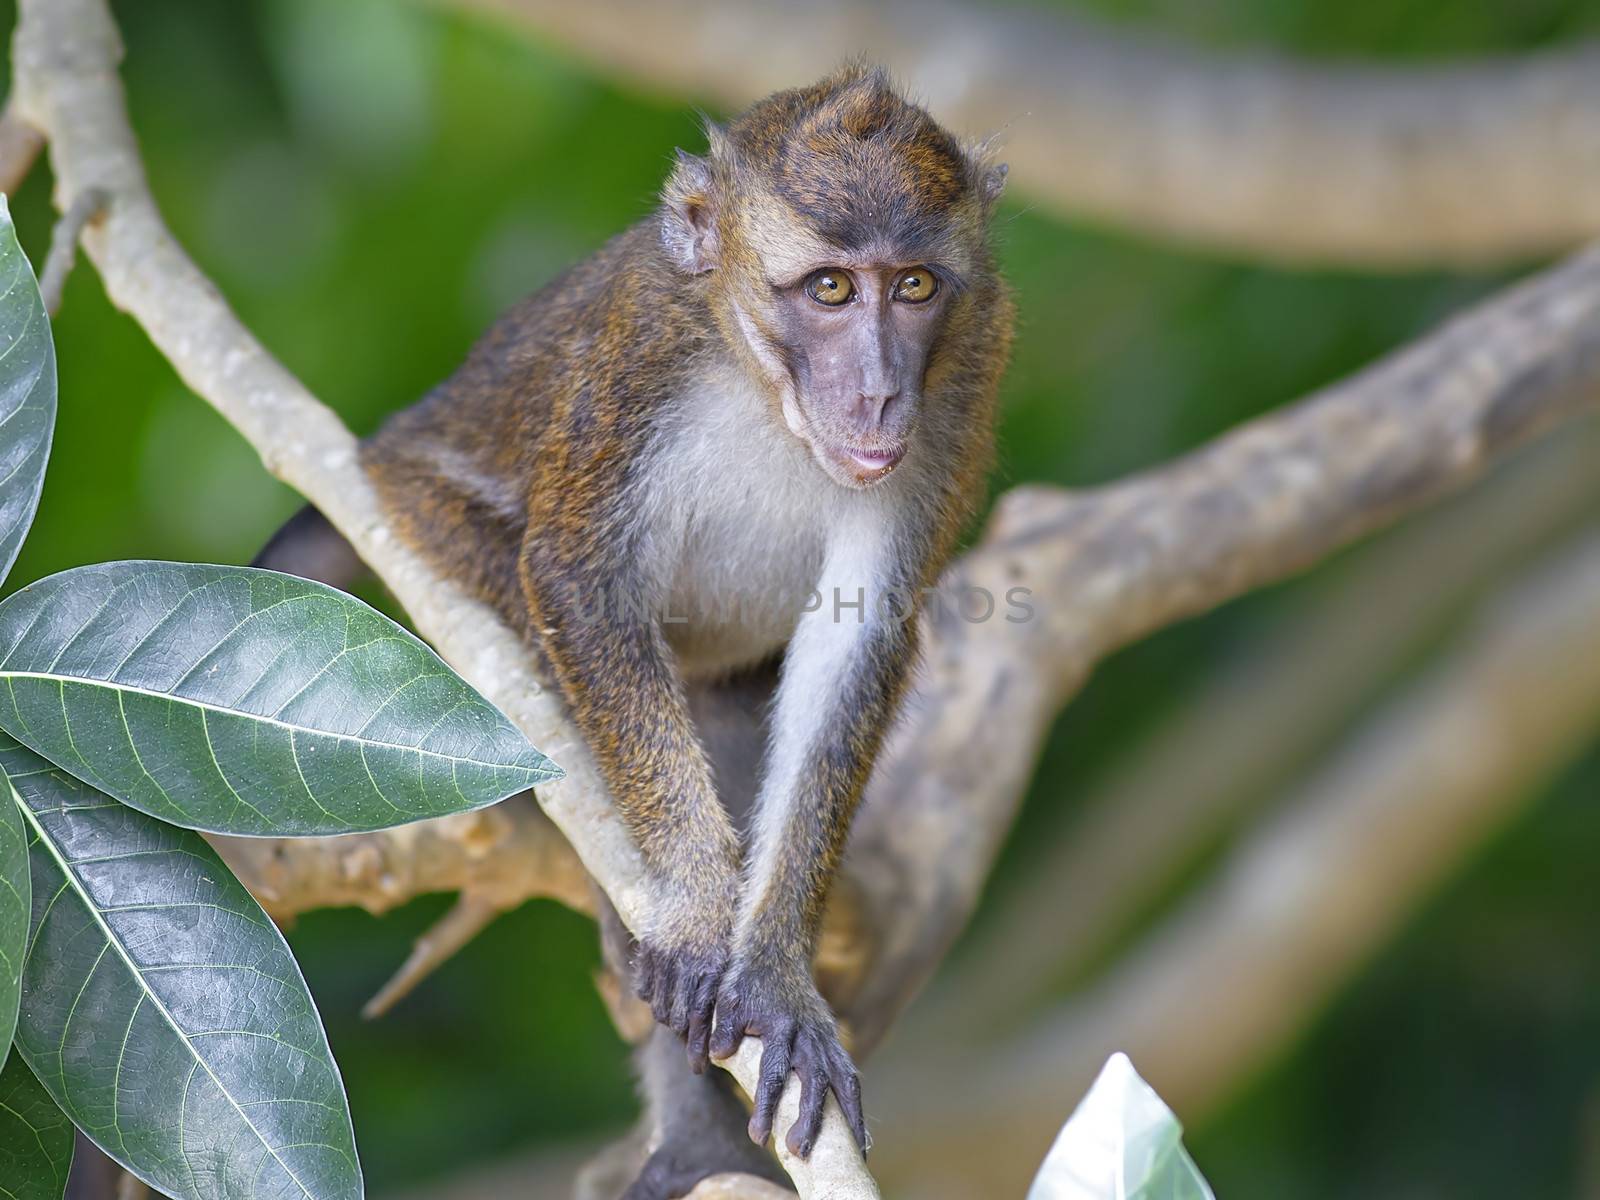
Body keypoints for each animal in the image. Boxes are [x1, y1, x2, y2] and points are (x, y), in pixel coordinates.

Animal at [260, 68, 1011, 1200]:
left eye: (914, 287)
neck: (763, 390)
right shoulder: (640, 352)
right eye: (832, 290)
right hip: (421, 516)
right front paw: (697, 910)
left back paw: (700, 1140)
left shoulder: (964, 380)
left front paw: (773, 971)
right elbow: (580, 581)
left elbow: (859, 641)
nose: (881, 391)